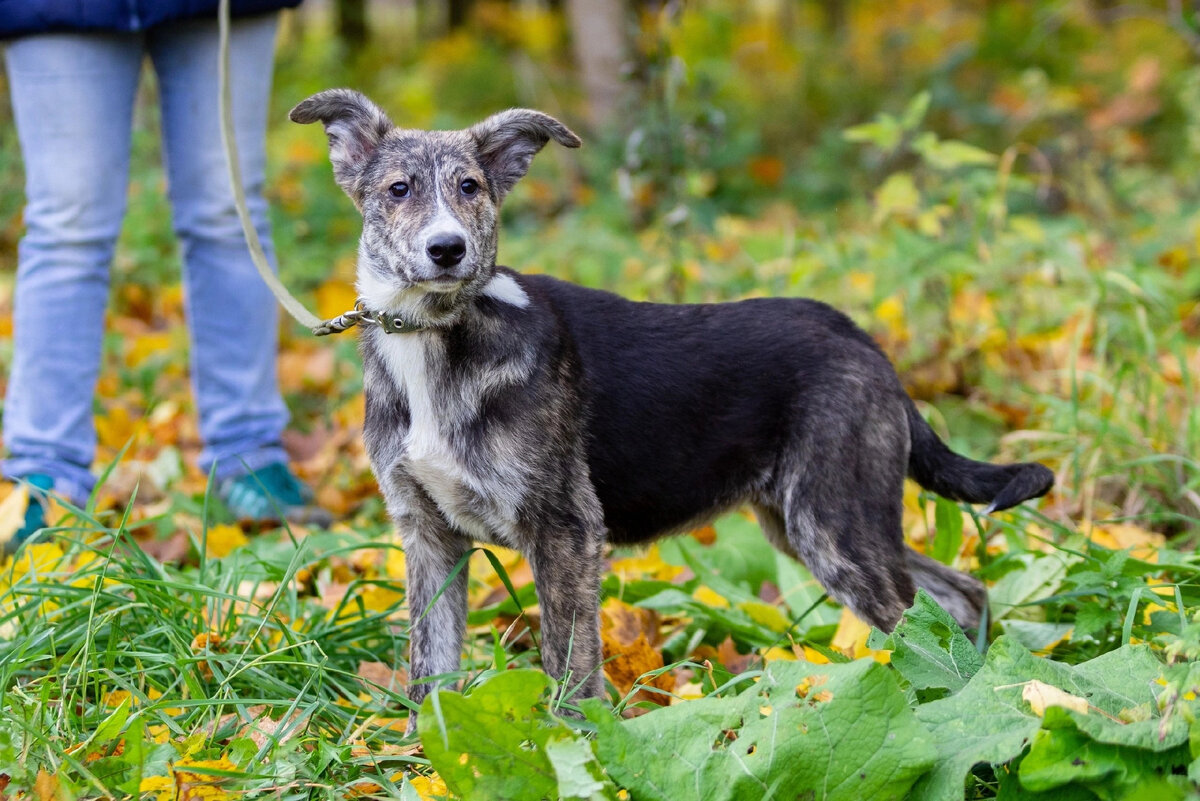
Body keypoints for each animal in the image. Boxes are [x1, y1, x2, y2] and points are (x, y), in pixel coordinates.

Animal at [288, 90, 1051, 729]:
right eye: (398, 189)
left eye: (470, 187)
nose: (448, 249)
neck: (435, 337)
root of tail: (857, 335)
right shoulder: (428, 536)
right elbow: (432, 670)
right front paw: (428, 757)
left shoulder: (565, 530)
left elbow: (570, 664)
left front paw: (572, 747)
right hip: (815, 519)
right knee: (957, 594)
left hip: (835, 522)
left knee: (916, 613)